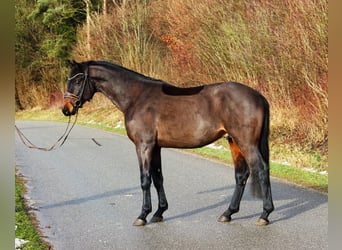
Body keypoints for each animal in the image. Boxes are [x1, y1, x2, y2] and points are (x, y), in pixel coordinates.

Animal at [62, 60, 276, 227]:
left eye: (79, 80)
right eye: (68, 80)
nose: (66, 109)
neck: (137, 97)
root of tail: (258, 97)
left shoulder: (144, 146)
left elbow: (145, 180)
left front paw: (143, 215)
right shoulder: (156, 147)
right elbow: (158, 179)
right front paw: (159, 213)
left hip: (246, 143)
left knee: (261, 169)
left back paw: (265, 214)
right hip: (234, 142)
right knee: (241, 175)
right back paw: (228, 213)